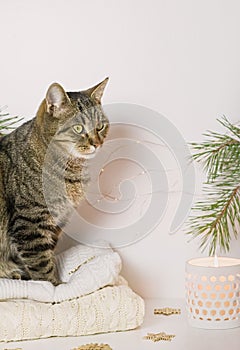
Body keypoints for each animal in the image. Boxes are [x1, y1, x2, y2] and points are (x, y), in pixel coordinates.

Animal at [0, 78, 109, 286]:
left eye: (100, 126)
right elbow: (41, 263)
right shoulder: (31, 221)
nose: (97, 143)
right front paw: (54, 286)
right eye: (78, 128)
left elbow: (45, 256)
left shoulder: (57, 222)